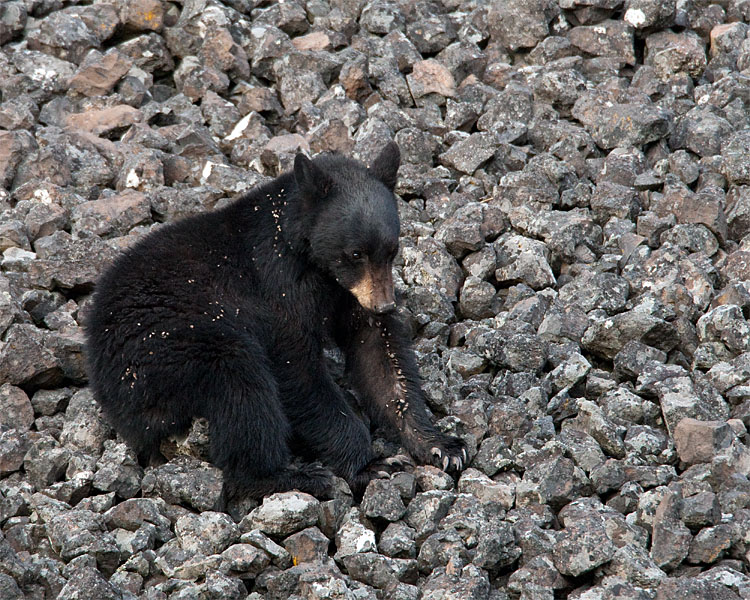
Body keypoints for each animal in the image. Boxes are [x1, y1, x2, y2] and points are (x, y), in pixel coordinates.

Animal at [85, 143, 468, 500]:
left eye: (392, 250)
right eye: (355, 253)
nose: (385, 305)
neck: (305, 253)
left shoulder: (346, 292)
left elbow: (380, 358)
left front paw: (440, 445)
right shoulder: (279, 287)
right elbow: (296, 368)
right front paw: (370, 464)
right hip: (164, 349)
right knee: (240, 385)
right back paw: (289, 476)